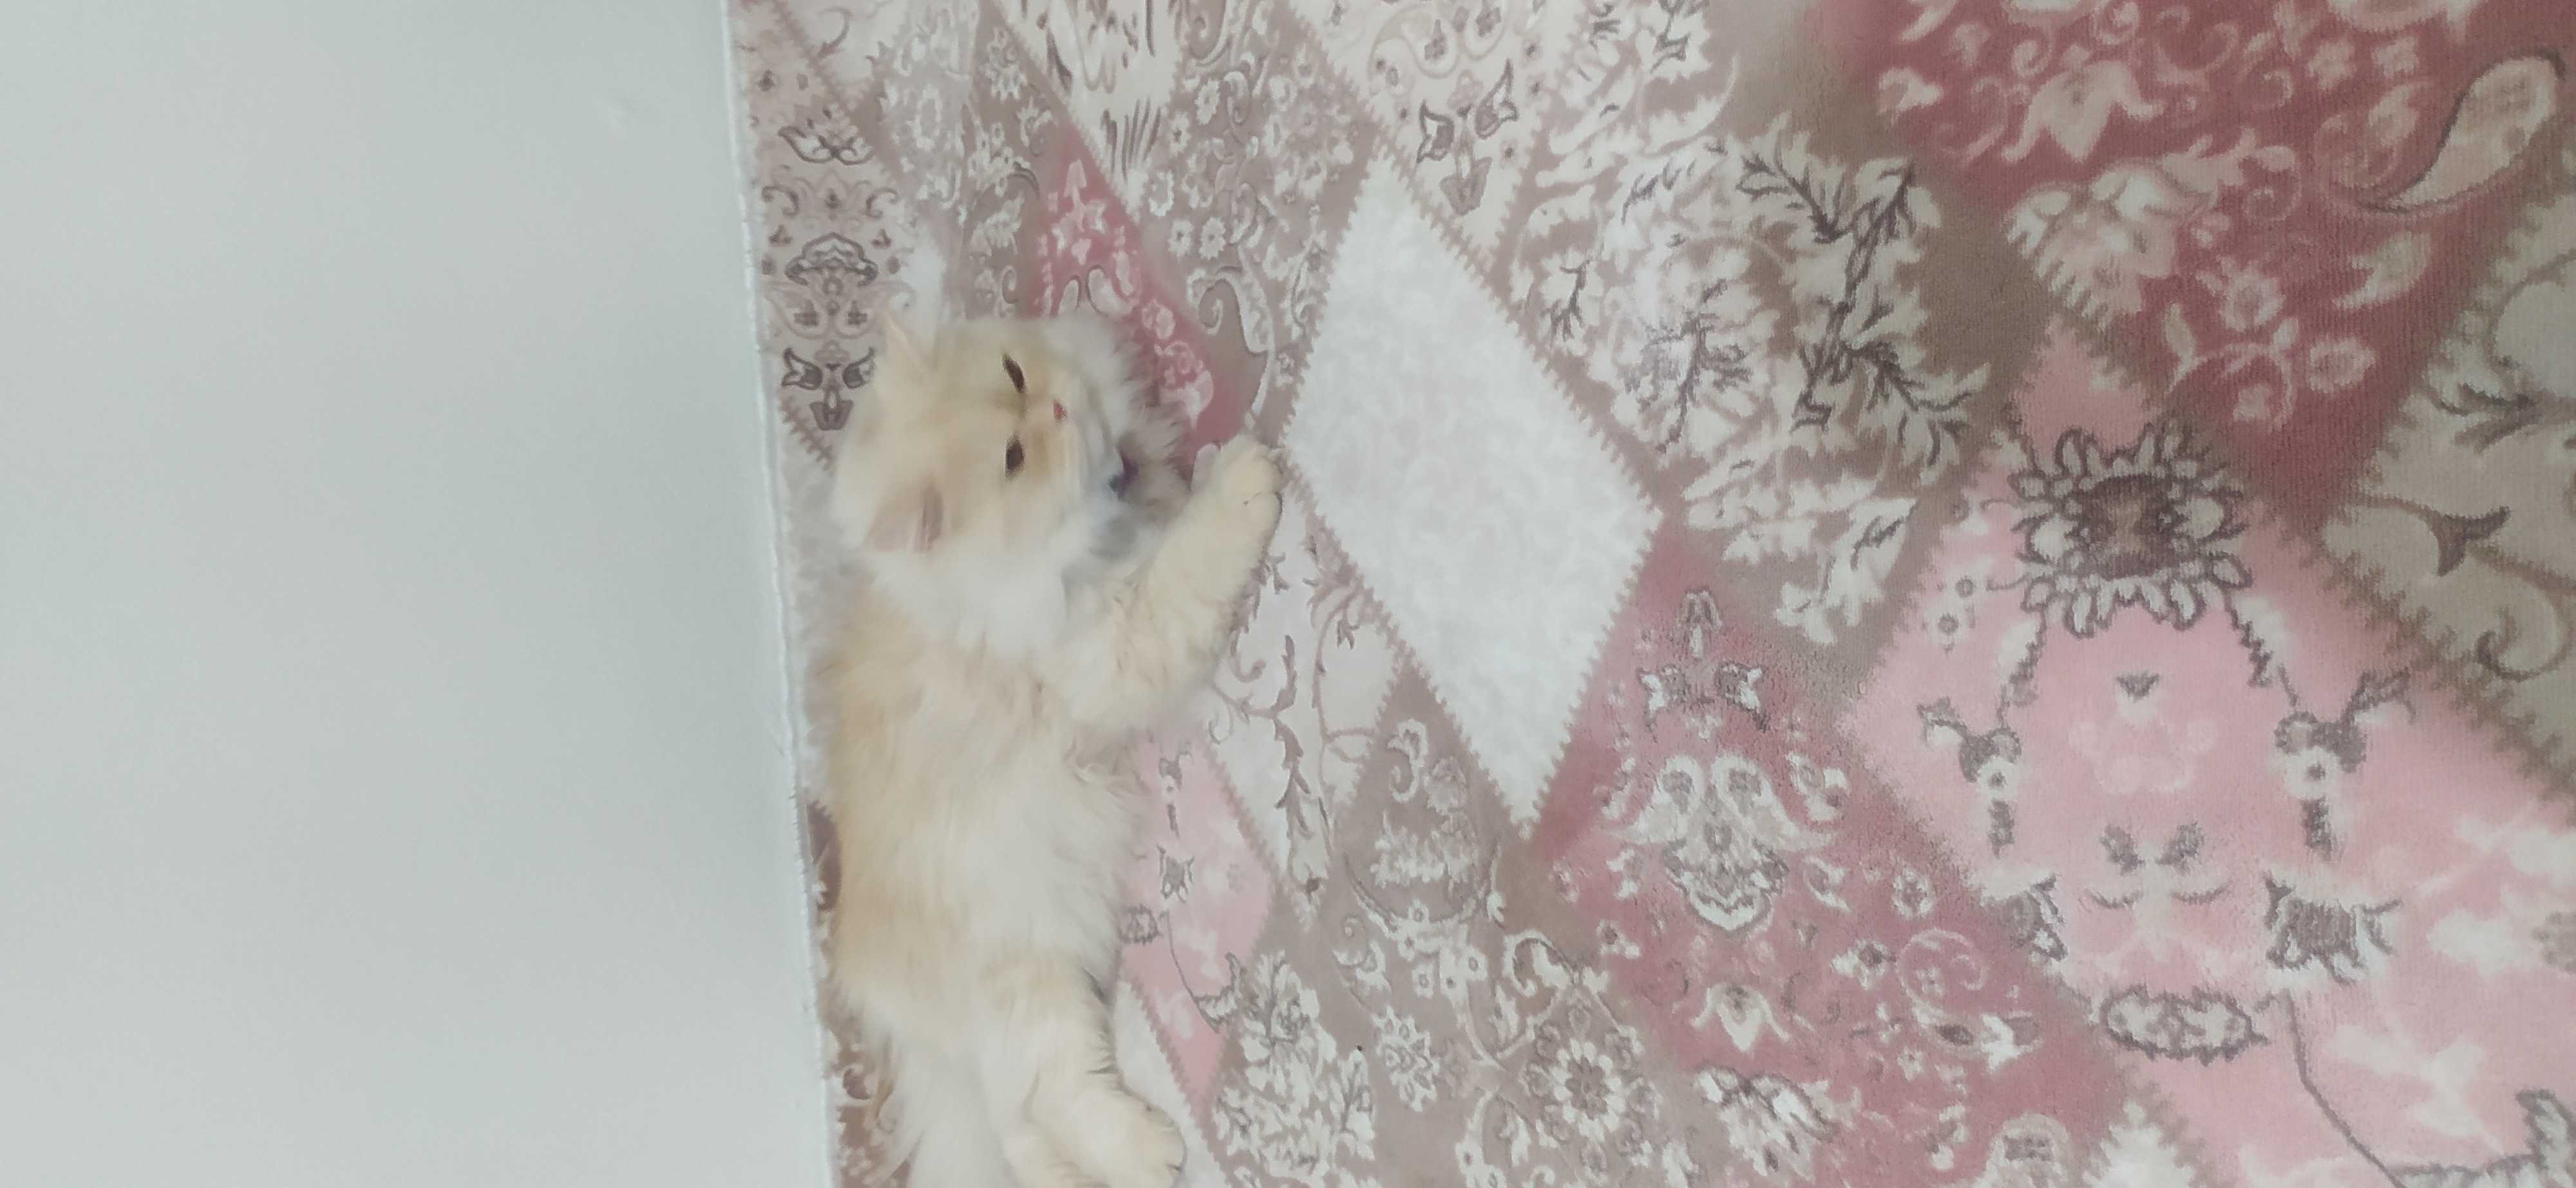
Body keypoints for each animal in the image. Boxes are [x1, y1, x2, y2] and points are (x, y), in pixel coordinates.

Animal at [821, 308, 1281, 1188]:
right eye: (1013, 458)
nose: (1059, 410)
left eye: (1014, 374)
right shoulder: (1112, 644)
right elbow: (1191, 558)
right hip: (1035, 983)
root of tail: (874, 986)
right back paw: (1152, 1154)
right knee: (1058, 1102)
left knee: (1022, 1134)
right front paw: (1243, 478)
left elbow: (1159, 491)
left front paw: (1158, 468)